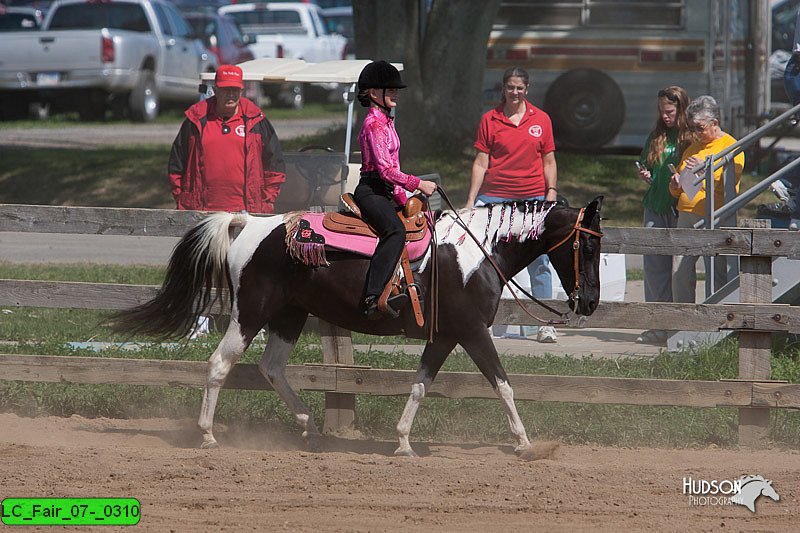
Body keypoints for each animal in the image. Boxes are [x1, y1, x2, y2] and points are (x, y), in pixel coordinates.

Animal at [111, 196, 600, 458]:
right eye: (587, 247)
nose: (590, 302)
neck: (476, 253)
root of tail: (250, 224)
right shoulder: (473, 331)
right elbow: (503, 385)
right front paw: (525, 444)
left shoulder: (444, 336)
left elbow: (420, 384)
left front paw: (402, 442)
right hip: (250, 313)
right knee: (219, 364)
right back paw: (208, 435)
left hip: (289, 316)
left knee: (272, 368)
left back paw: (310, 428)